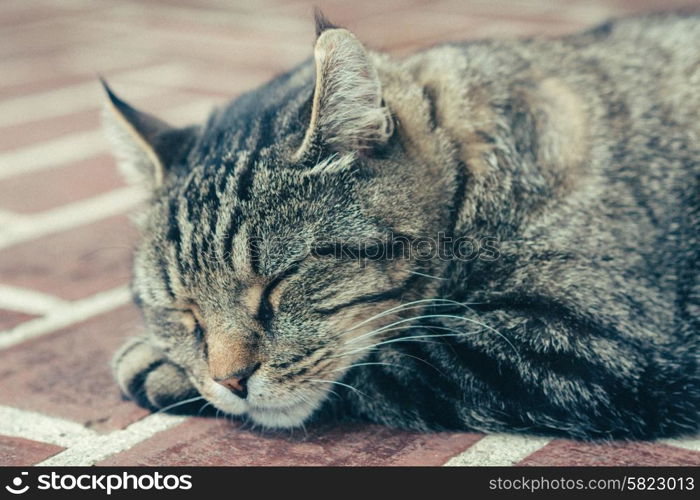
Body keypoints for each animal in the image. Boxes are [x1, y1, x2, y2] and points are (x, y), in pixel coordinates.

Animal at [105, 11, 700, 440]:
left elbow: (389, 363)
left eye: (278, 283)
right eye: (183, 310)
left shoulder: (587, 344)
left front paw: (157, 367)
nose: (230, 380)